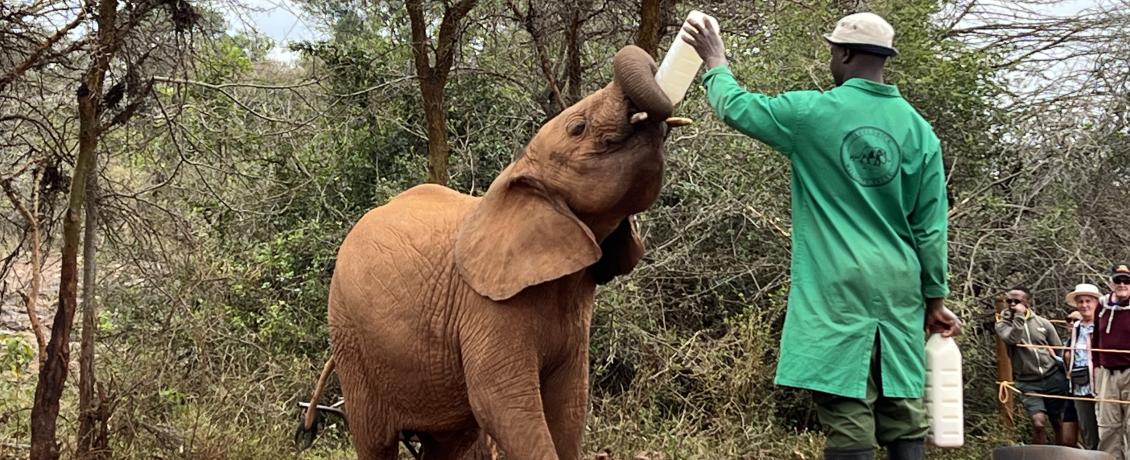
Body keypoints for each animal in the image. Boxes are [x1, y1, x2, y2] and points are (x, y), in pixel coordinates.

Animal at [299, 45, 687, 460]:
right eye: (577, 128)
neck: (517, 171)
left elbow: (571, 406)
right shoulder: (486, 309)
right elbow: (503, 405)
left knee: (446, 443)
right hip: (350, 336)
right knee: (375, 440)